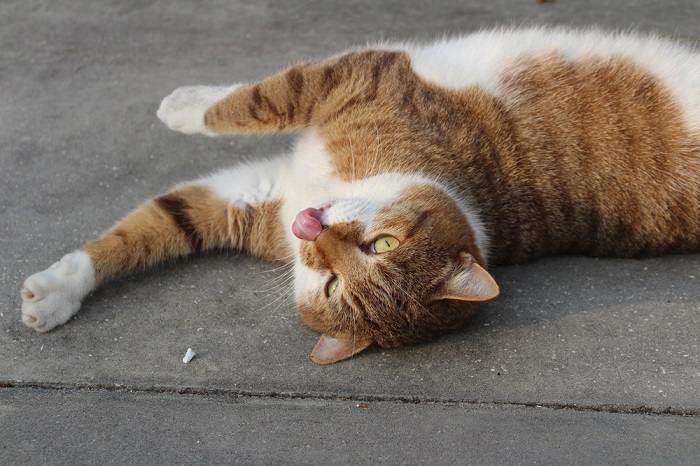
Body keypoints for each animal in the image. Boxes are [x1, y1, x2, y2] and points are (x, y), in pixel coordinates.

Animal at [19, 28, 700, 364]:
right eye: (382, 244)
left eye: (336, 285)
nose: (315, 235)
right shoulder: (261, 197)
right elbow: (155, 225)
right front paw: (58, 291)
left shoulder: (365, 78)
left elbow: (257, 100)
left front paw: (181, 107)